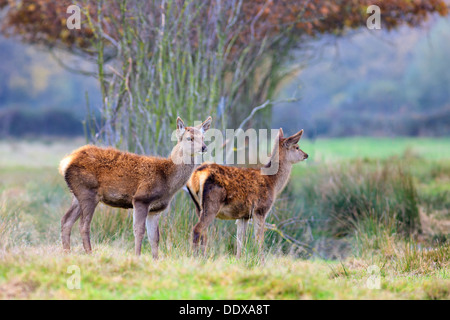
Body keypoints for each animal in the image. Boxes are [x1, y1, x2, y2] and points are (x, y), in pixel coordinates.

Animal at [59, 116, 212, 258]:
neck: (167, 180)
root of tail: (66, 161)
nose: (204, 147)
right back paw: (89, 253)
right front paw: (137, 256)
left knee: (66, 220)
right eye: (189, 138)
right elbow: (139, 231)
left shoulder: (156, 209)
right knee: (83, 224)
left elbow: (154, 237)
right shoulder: (141, 198)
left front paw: (156, 260)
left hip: (77, 194)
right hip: (87, 191)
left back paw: (67, 252)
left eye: (203, 137)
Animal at [185, 127, 308, 260]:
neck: (272, 183)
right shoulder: (260, 209)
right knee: (197, 229)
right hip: (212, 203)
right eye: (297, 147)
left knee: (203, 232)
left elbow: (240, 240)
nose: (306, 155)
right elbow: (259, 240)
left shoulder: (243, 215)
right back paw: (196, 257)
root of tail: (196, 175)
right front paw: (261, 261)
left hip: (198, 206)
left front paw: (239, 260)